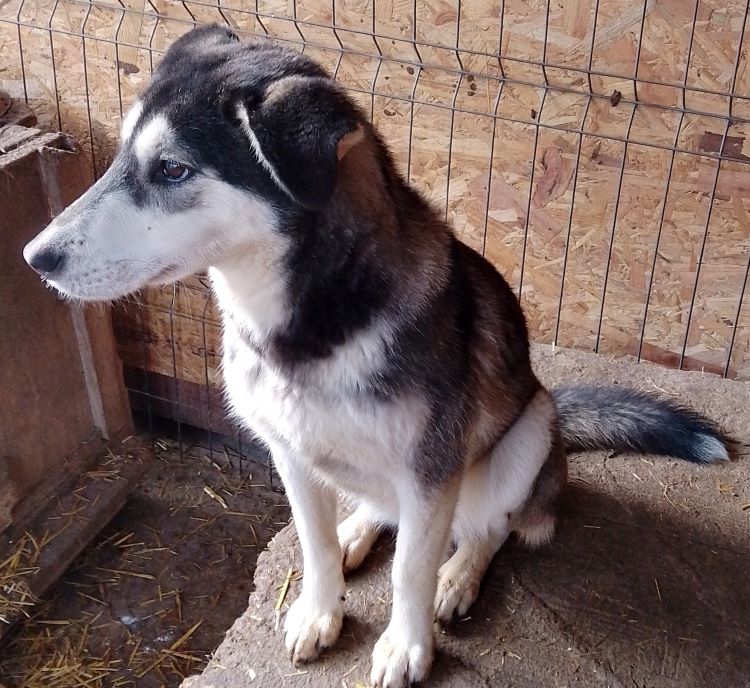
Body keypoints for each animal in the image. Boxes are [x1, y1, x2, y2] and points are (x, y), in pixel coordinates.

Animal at [23, 22, 728, 688]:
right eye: (121, 153)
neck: (306, 325)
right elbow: (313, 547)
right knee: (381, 509)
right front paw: (322, 608)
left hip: (527, 433)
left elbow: (411, 572)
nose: (35, 256)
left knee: (493, 526)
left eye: (172, 169)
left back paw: (459, 574)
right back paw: (359, 530)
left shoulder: (431, 471)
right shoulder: (290, 453)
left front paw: (408, 644)